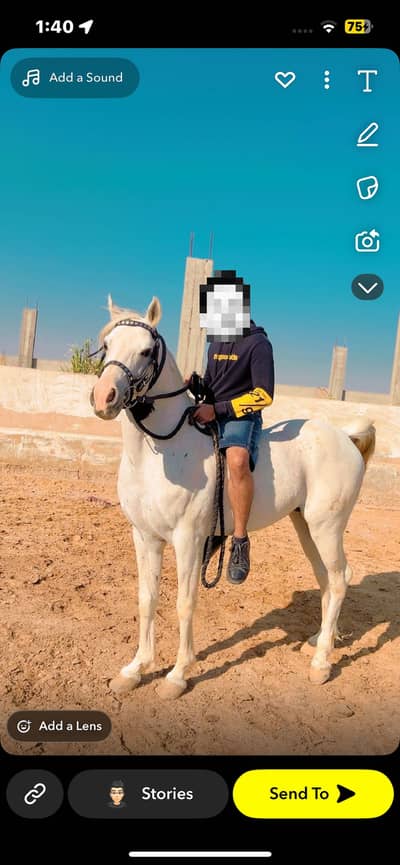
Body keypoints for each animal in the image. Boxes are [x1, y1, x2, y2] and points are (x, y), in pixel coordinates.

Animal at [91, 295, 376, 700]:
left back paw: (321, 663)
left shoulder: (189, 541)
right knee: (328, 578)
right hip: (307, 527)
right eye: (107, 345)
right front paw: (135, 670)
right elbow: (147, 599)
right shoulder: (144, 537)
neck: (161, 453)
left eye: (146, 350)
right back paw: (321, 641)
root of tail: (343, 437)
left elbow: (184, 603)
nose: (104, 398)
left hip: (327, 527)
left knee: (338, 579)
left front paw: (177, 675)